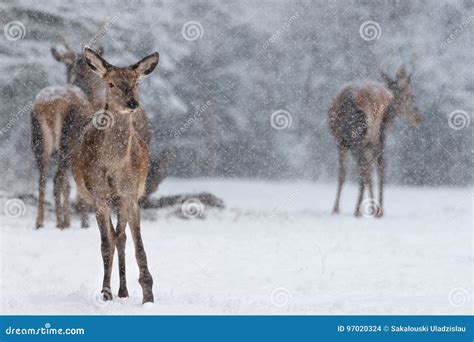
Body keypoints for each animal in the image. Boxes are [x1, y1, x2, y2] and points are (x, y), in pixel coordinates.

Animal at [72, 47, 160, 302]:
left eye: (137, 82)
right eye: (111, 84)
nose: (132, 102)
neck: (113, 164)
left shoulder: (129, 194)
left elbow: (134, 244)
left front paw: (146, 294)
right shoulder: (98, 195)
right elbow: (105, 244)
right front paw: (105, 292)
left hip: (124, 200)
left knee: (123, 238)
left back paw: (125, 290)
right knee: (112, 238)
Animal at [330, 65, 422, 216]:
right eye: (411, 95)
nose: (418, 117)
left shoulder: (343, 142)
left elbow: (347, 174)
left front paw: (337, 209)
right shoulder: (375, 141)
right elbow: (375, 170)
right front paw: (375, 208)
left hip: (352, 139)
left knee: (357, 171)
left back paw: (347, 209)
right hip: (370, 137)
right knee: (372, 169)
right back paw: (367, 210)